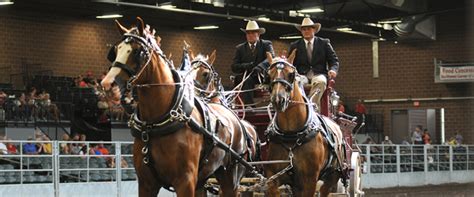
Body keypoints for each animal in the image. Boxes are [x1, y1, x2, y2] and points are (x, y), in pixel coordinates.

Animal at [99, 17, 256, 197]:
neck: (156, 122)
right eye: (115, 50)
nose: (108, 84)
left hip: (231, 177)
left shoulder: (185, 181)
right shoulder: (146, 183)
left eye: (138, 51)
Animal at [262, 51, 346, 197]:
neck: (291, 135)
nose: (278, 99)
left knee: (325, 190)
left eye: (291, 74)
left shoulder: (309, 180)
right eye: (268, 76)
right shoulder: (273, 176)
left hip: (332, 176)